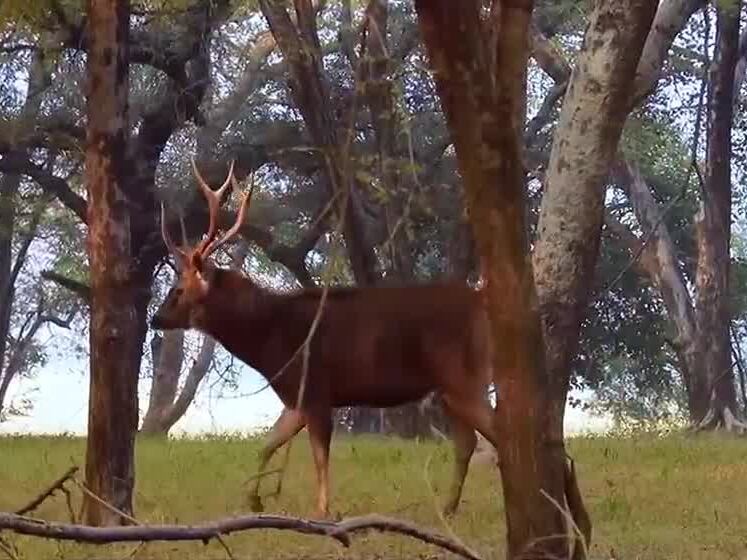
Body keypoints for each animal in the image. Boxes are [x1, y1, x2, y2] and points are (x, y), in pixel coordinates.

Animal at [151, 159, 501, 519]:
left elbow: (320, 456)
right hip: (450, 388)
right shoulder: (295, 398)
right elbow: (267, 445)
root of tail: (482, 301)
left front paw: (323, 511)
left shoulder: (316, 389)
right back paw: (448, 508)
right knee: (467, 443)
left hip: (465, 376)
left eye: (178, 290)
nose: (155, 318)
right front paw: (254, 499)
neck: (268, 339)